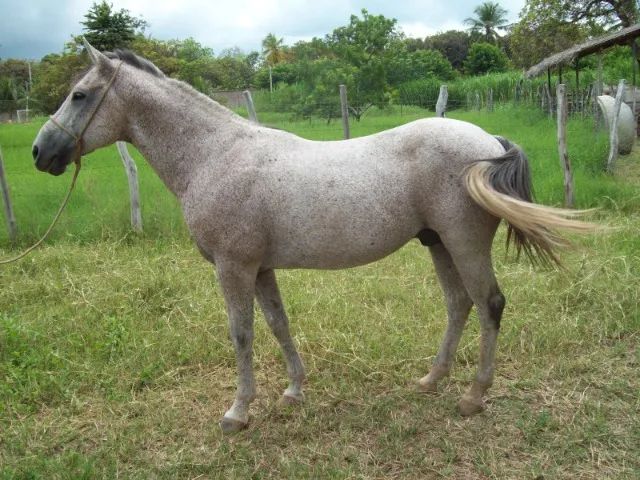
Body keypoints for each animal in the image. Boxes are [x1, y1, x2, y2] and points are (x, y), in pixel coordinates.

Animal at [32, 40, 593, 433]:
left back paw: (474, 396)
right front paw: (294, 391)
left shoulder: (233, 267)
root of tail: (487, 142)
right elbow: (278, 325)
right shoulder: (260, 268)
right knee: (460, 305)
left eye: (80, 94)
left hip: (464, 243)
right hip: (438, 243)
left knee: (490, 303)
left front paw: (238, 413)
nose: (41, 152)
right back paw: (431, 380)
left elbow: (242, 334)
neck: (215, 155)